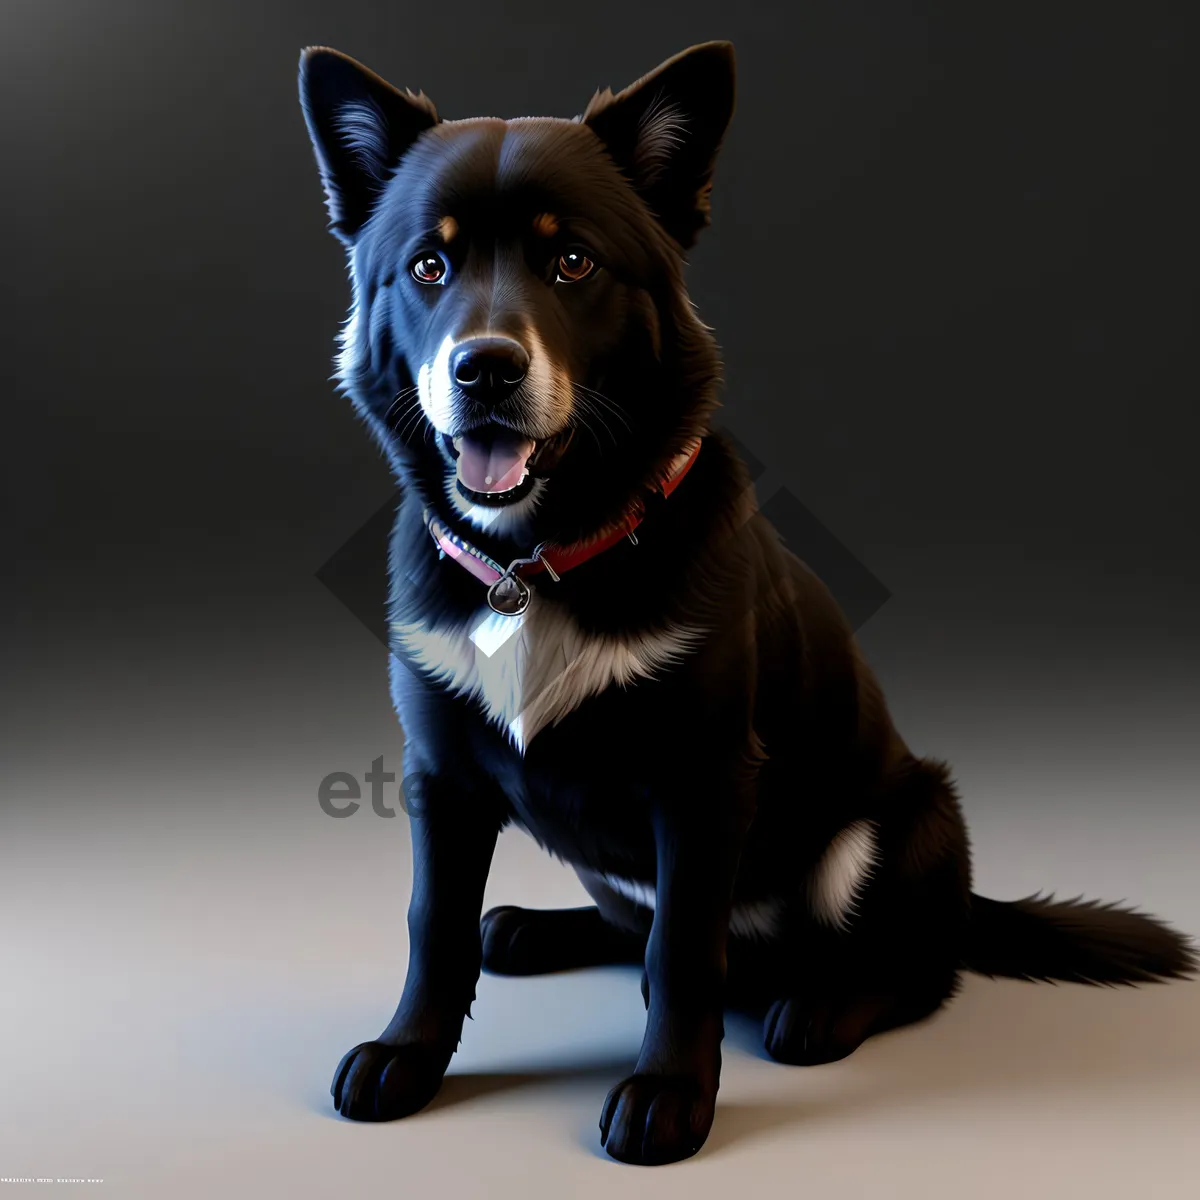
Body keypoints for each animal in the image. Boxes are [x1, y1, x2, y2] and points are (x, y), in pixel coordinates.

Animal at [295, 44, 1195, 1161]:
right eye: (428, 268)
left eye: (573, 263)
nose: (485, 369)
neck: (539, 558)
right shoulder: (443, 777)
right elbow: (436, 928)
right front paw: (409, 1054)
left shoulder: (704, 777)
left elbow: (685, 948)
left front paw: (670, 1092)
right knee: (625, 923)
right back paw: (534, 929)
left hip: (899, 822)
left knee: (913, 970)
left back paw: (823, 1006)